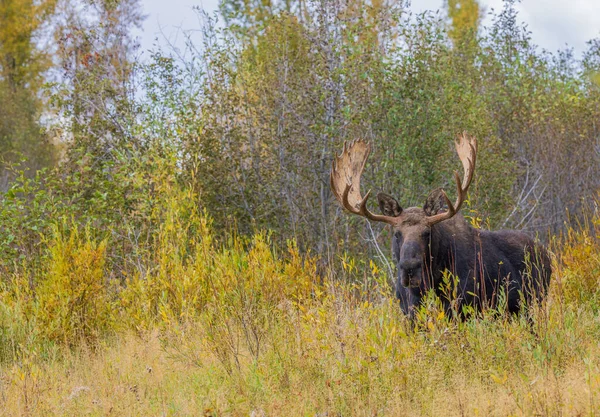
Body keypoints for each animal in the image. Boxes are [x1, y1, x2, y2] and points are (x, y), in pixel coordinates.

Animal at [330, 135, 552, 316]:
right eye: (396, 233)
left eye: (427, 233)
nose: (409, 268)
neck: (425, 287)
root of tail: (545, 253)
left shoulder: (464, 309)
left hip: (531, 305)